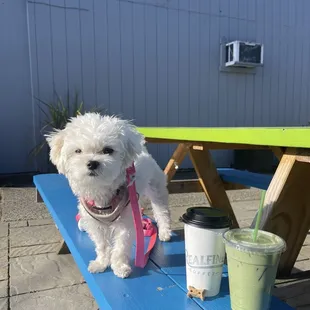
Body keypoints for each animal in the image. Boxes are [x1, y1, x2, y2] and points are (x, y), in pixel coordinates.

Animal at [46, 113, 172, 278]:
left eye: (108, 150)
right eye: (78, 151)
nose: (92, 163)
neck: (101, 192)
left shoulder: (125, 222)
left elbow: (121, 246)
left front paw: (120, 266)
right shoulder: (95, 224)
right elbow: (102, 245)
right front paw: (101, 263)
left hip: (156, 190)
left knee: (162, 212)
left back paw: (164, 232)